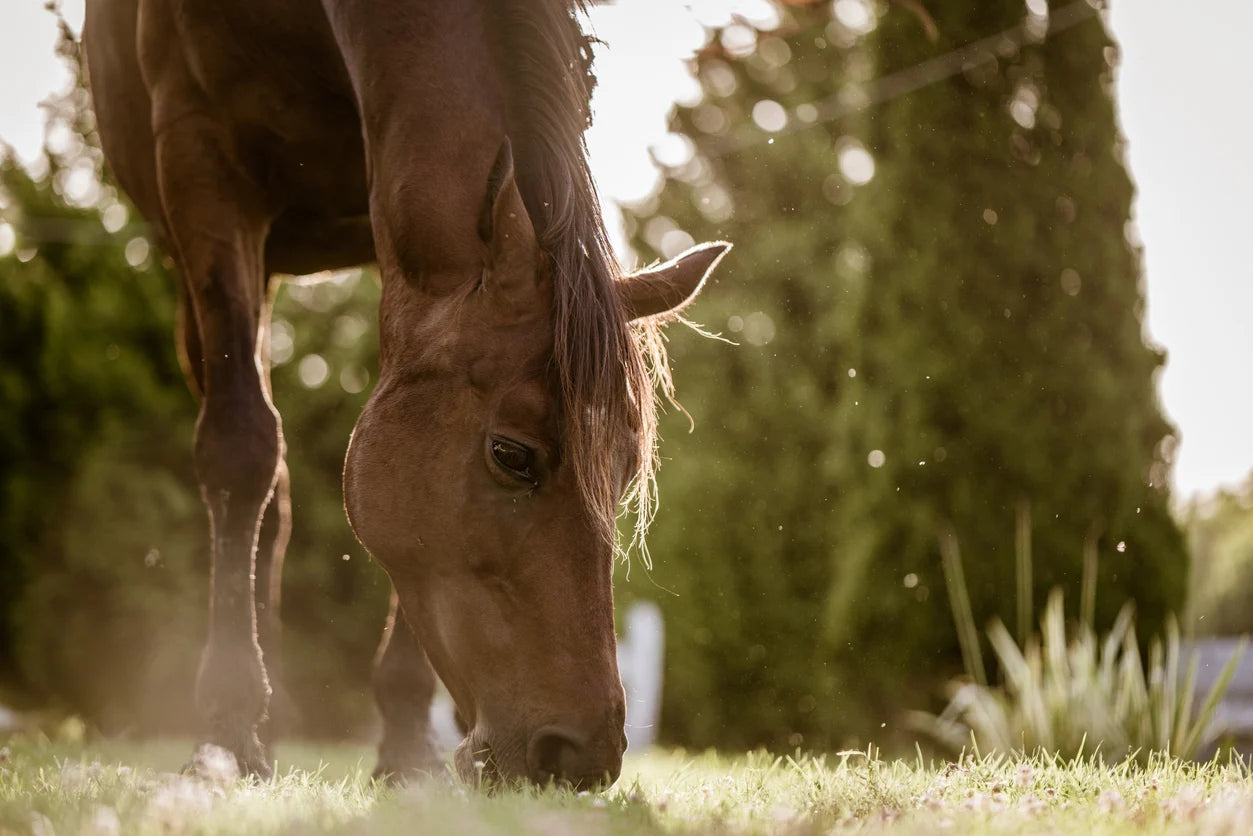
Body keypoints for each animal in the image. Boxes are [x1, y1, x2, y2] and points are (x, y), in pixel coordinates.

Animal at [83, 0, 729, 789]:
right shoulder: (202, 167)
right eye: (511, 455)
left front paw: (407, 745)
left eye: (627, 471)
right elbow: (240, 449)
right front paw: (229, 727)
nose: (579, 756)